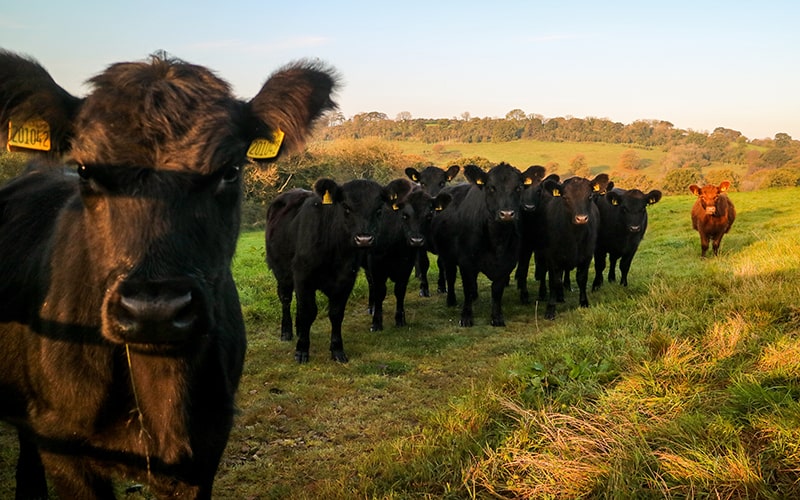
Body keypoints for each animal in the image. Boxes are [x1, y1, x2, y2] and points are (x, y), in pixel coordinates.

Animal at [266, 178, 410, 362]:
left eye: (379, 210)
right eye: (346, 207)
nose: (364, 239)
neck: (333, 249)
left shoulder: (346, 279)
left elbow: (336, 314)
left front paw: (337, 350)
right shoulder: (303, 276)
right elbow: (308, 312)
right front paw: (302, 350)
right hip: (281, 272)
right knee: (285, 299)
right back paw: (287, 332)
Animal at [368, 184, 454, 332]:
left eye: (429, 216)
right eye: (405, 215)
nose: (416, 240)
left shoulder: (406, 265)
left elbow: (400, 290)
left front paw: (400, 319)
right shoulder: (376, 265)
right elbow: (380, 291)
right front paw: (376, 322)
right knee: (371, 284)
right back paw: (371, 307)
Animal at [404, 164, 460, 296]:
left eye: (442, 183)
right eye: (423, 183)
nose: (433, 201)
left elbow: (441, 263)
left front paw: (442, 286)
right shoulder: (419, 241)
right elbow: (424, 263)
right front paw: (424, 288)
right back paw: (418, 276)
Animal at [540, 174, 608, 318]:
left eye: (590, 196)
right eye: (565, 197)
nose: (581, 218)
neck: (574, 237)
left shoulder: (587, 255)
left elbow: (581, 279)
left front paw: (584, 302)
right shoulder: (552, 256)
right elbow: (554, 281)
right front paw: (550, 308)